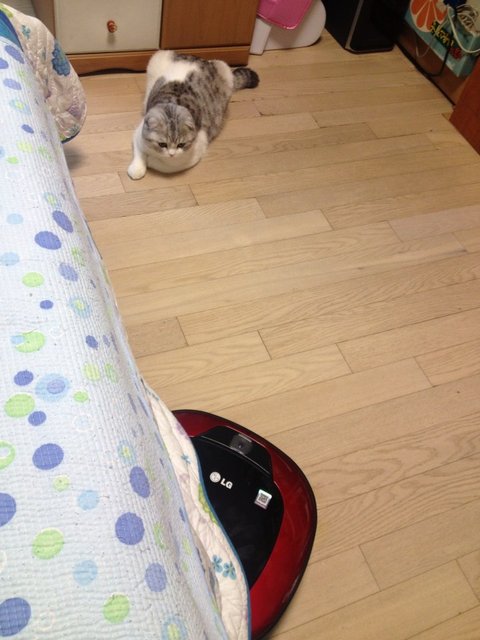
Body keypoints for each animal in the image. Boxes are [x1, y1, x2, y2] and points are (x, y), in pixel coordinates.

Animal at [127, 50, 259, 179]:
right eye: (162, 144)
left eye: (181, 144)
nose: (171, 154)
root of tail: (200, 58)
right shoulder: (139, 134)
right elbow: (139, 152)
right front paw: (137, 168)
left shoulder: (193, 152)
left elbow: (165, 165)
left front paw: (151, 160)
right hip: (157, 58)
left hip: (225, 68)